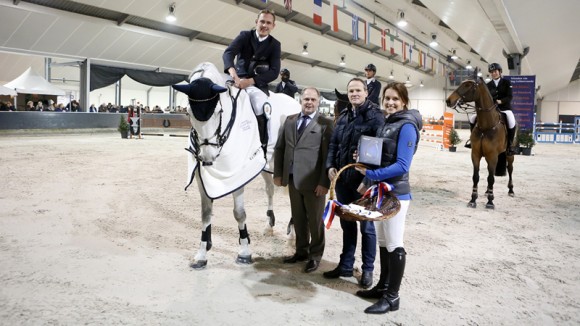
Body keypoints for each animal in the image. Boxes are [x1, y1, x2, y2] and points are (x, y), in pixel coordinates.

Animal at [446, 76, 516, 209]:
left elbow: (491, 178)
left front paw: (490, 202)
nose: (448, 100)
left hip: (509, 154)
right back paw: (487, 191)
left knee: (510, 169)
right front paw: (473, 199)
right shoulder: (476, 154)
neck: (486, 126)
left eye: (468, 85)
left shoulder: (493, 156)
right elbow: (476, 177)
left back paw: (511, 191)